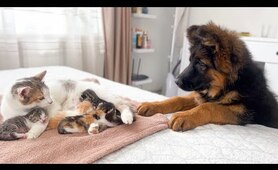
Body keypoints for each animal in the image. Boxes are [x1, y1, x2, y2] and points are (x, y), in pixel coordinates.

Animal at [138, 21, 278, 131]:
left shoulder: (242, 111)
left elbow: (210, 106)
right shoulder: (199, 96)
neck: (231, 84)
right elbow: (177, 99)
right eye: (190, 61)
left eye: (201, 64)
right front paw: (152, 105)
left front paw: (184, 115)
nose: (176, 81)